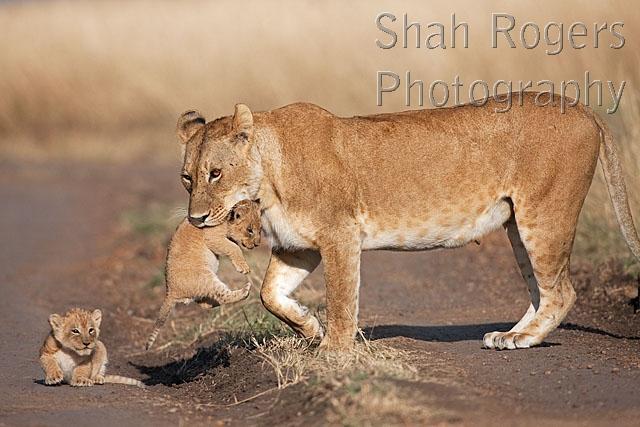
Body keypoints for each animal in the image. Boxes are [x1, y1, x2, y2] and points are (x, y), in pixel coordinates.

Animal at [174, 93, 639, 351]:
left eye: (215, 173)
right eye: (187, 178)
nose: (196, 218)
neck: (268, 182)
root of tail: (581, 107)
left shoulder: (340, 235)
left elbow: (342, 299)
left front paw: (333, 352)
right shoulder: (298, 246)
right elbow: (270, 295)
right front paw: (309, 328)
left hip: (544, 214)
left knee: (561, 291)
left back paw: (522, 339)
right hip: (517, 225)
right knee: (541, 291)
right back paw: (508, 335)